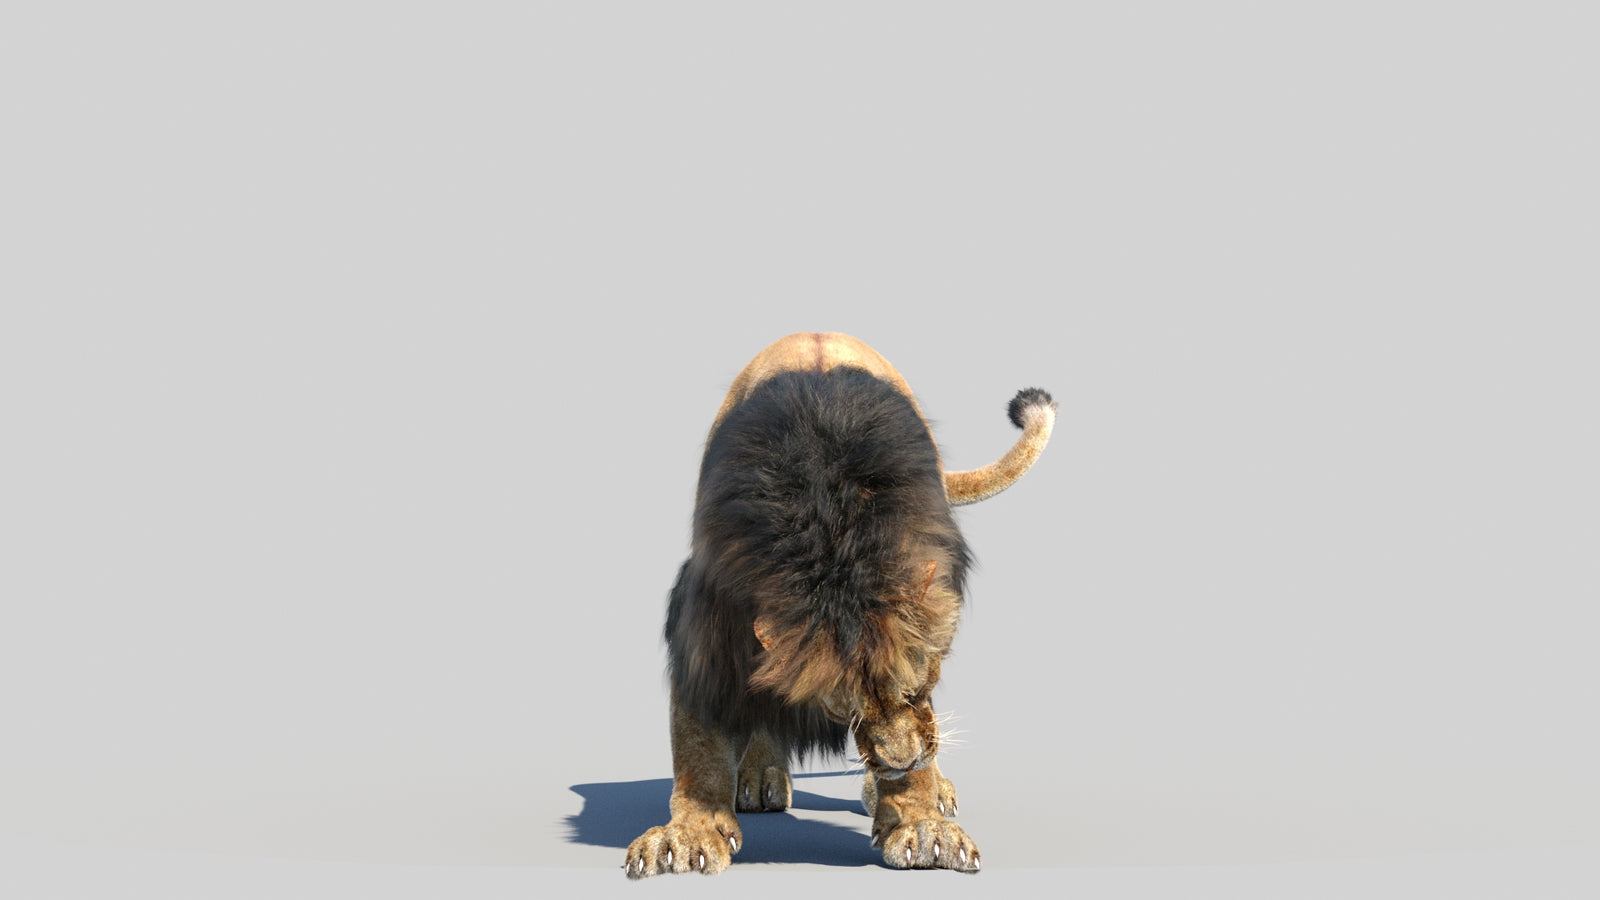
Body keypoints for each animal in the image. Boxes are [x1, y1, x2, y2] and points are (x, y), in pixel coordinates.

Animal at [623, 332, 1055, 878]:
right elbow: (699, 745)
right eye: (844, 706)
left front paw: (921, 823)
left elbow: (921, 742)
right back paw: (760, 776)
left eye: (916, 686)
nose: (899, 762)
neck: (835, 540)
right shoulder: (707, 619)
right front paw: (687, 835)